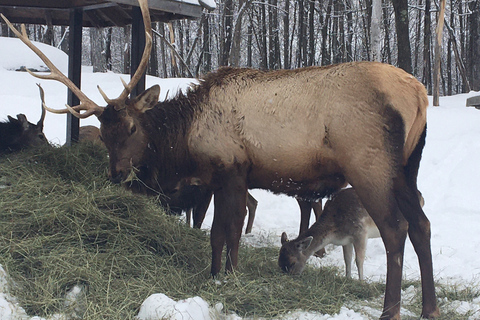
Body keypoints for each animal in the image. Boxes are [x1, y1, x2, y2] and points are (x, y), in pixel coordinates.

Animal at [2, 0, 438, 318]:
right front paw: (221, 274)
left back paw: (391, 310)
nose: (118, 173)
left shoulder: (231, 171)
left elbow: (224, 232)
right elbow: (222, 235)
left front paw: (223, 276)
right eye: (104, 135)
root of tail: (418, 93)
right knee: (421, 224)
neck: (186, 143)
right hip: (408, 167)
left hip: (370, 163)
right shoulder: (224, 179)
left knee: (396, 228)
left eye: (131, 128)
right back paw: (429, 308)